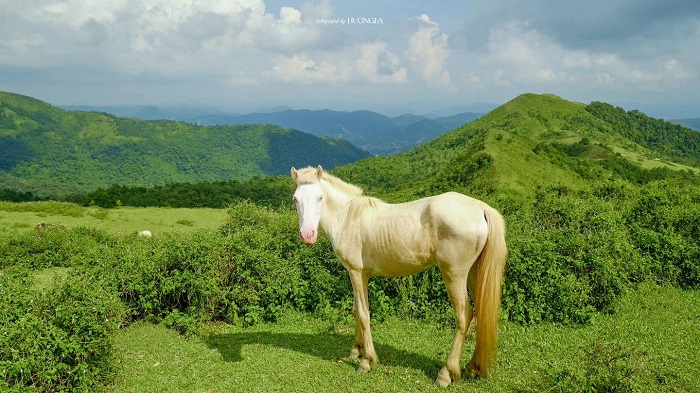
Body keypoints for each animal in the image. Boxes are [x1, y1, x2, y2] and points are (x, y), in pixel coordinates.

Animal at [292, 165, 508, 386]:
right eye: (295, 199)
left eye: (319, 197)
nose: (307, 235)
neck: (347, 217)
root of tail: (481, 208)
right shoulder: (358, 275)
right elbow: (355, 311)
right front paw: (355, 351)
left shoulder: (356, 273)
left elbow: (363, 314)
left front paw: (366, 361)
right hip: (474, 274)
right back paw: (474, 367)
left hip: (454, 275)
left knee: (464, 316)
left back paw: (446, 374)